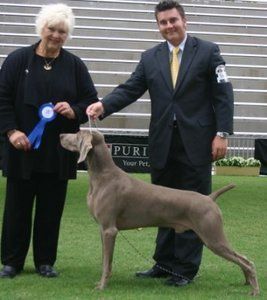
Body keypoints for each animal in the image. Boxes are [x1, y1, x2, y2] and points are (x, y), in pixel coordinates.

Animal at [60, 131, 260, 296]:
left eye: (77, 133)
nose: (61, 135)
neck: (103, 176)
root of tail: (210, 198)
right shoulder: (103, 229)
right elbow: (104, 260)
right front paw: (101, 283)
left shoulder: (109, 229)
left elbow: (106, 264)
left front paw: (102, 286)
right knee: (244, 257)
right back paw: (246, 282)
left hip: (212, 236)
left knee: (247, 261)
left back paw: (255, 290)